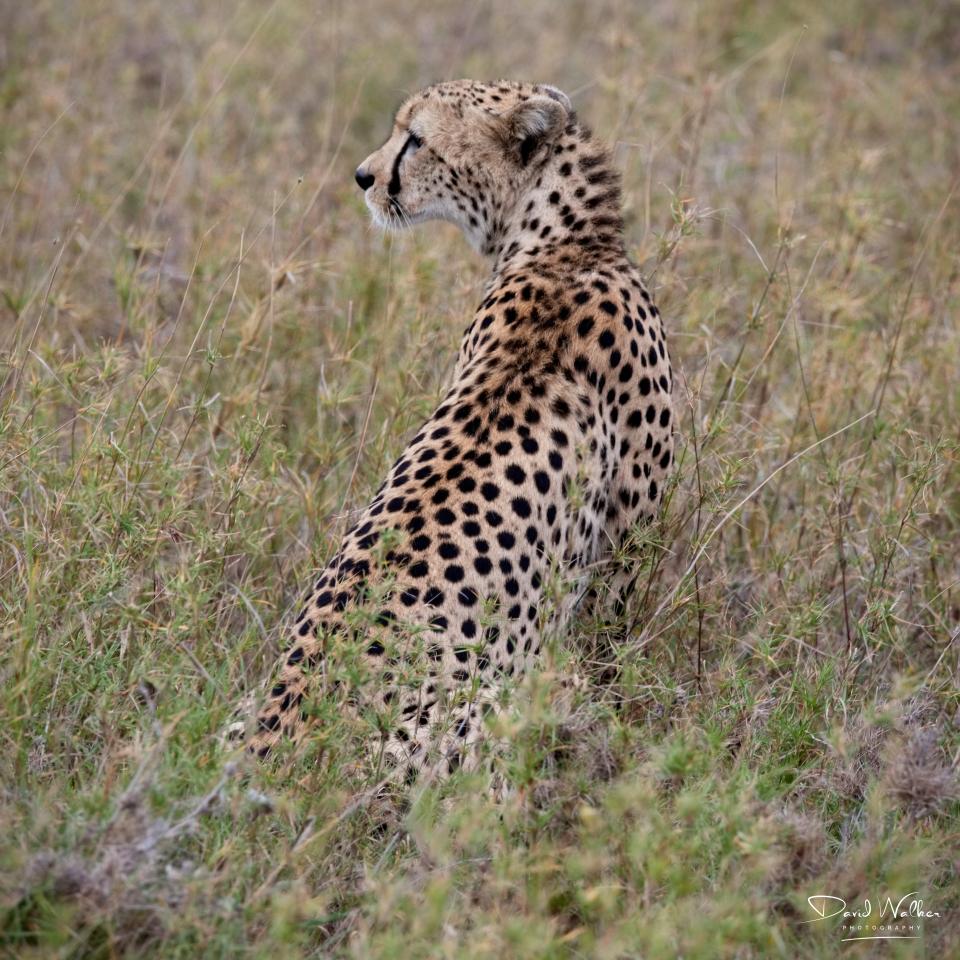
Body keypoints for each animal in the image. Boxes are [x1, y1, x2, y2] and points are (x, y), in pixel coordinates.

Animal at [241, 79, 674, 790]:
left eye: (416, 138)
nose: (362, 176)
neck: (566, 244)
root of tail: (274, 747)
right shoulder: (622, 552)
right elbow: (611, 658)